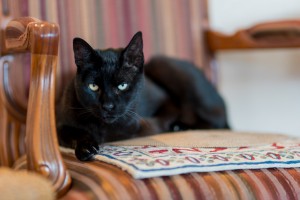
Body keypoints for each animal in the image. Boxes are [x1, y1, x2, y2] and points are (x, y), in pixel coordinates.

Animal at [56, 32, 230, 162]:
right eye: (93, 86)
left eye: (122, 85)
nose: (108, 106)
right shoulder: (58, 124)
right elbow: (71, 132)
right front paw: (86, 147)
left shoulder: (145, 119)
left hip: (163, 66)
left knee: (216, 122)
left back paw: (180, 126)